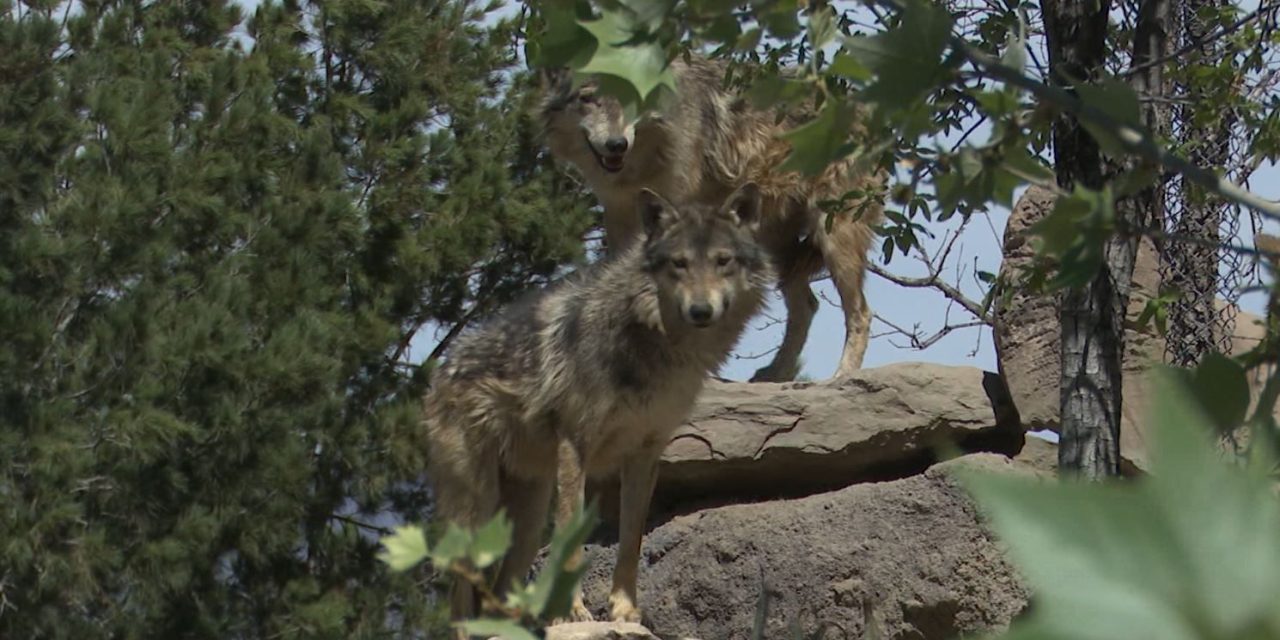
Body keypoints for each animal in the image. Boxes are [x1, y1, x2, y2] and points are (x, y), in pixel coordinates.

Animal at [423, 183, 772, 630]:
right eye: (679, 264)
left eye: (722, 261)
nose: (700, 310)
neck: (653, 345)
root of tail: (440, 372)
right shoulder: (575, 445)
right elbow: (570, 539)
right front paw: (571, 612)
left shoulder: (646, 454)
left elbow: (631, 540)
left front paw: (625, 611)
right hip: (478, 513)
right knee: (460, 603)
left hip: (526, 522)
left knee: (494, 597)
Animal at [541, 55, 885, 382]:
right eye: (588, 98)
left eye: (633, 96)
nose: (616, 144)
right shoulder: (619, 218)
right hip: (776, 249)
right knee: (807, 306)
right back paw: (776, 374)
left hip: (834, 235)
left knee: (860, 312)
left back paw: (843, 374)